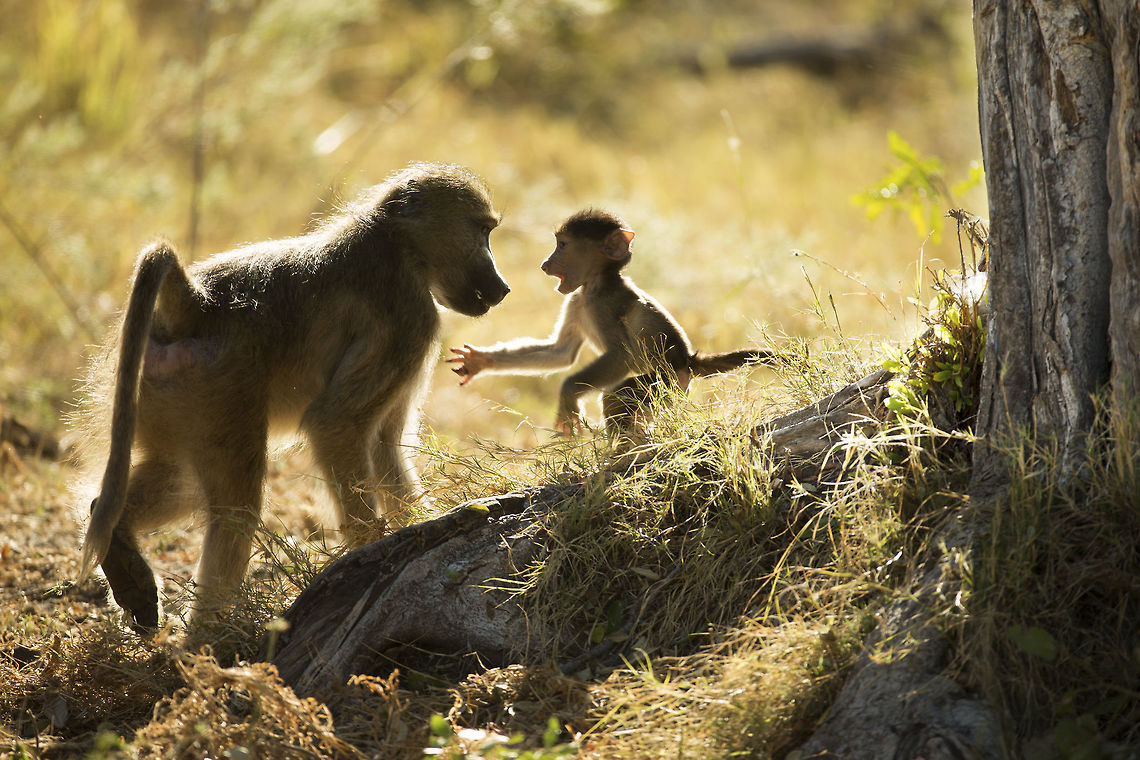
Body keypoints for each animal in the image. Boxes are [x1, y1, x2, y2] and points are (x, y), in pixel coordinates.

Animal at [75, 162, 510, 631]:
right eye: (482, 231)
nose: (502, 287)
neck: (395, 244)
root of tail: (195, 304)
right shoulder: (409, 319)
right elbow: (336, 423)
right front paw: (370, 549)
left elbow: (385, 447)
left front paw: (423, 527)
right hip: (221, 384)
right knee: (237, 508)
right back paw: (210, 638)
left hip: (169, 387)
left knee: (179, 477)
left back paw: (124, 557)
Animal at [447, 208, 774, 436]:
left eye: (562, 245)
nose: (545, 264)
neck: (595, 285)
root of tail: (688, 360)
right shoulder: (575, 300)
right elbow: (561, 352)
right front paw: (480, 360)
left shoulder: (603, 304)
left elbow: (621, 355)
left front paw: (569, 395)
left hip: (667, 383)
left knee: (616, 397)